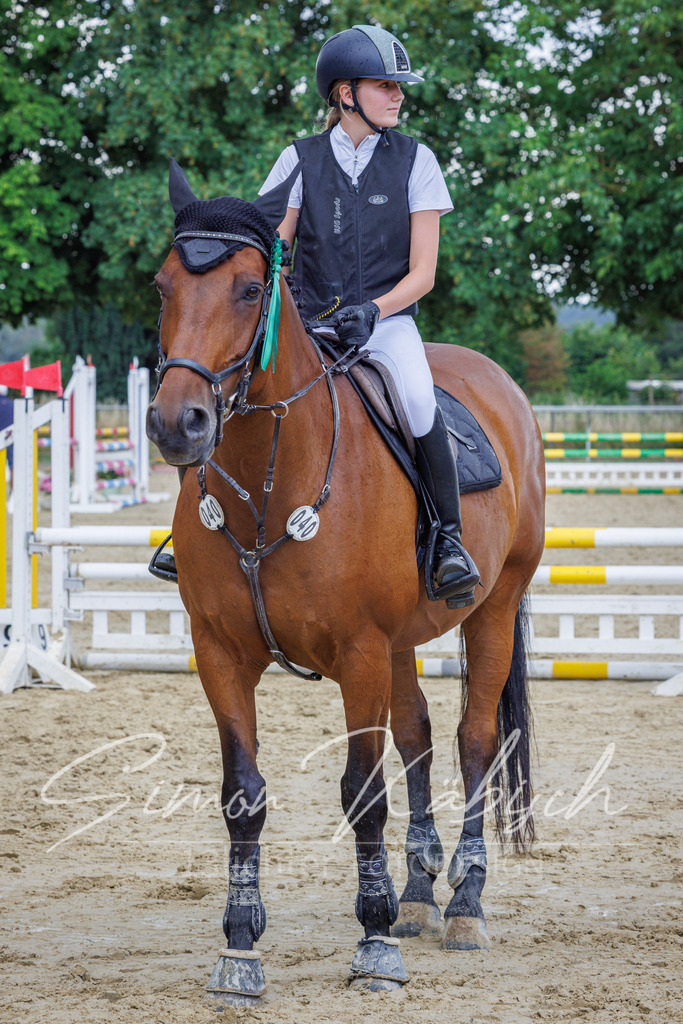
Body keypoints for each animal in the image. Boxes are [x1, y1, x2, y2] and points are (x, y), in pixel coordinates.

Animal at [145, 160, 546, 1003]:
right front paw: (239, 948)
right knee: (419, 736)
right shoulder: (220, 654)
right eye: (163, 286)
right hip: (400, 642)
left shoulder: (358, 655)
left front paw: (372, 946)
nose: (177, 424)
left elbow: (363, 793)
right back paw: (419, 896)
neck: (270, 484)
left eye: (249, 288)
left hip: (491, 607)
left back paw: (463, 903)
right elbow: (244, 793)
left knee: (472, 741)